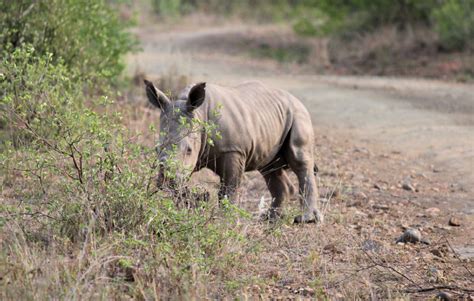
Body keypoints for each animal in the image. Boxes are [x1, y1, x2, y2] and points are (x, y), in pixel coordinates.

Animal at [144, 79, 322, 223]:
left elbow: (229, 190)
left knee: (299, 159)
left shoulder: (233, 151)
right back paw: (269, 219)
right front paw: (198, 200)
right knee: (269, 168)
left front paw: (223, 221)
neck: (200, 114)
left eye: (188, 150)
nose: (166, 179)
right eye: (157, 148)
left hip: (299, 114)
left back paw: (306, 220)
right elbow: (179, 188)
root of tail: (296, 99)